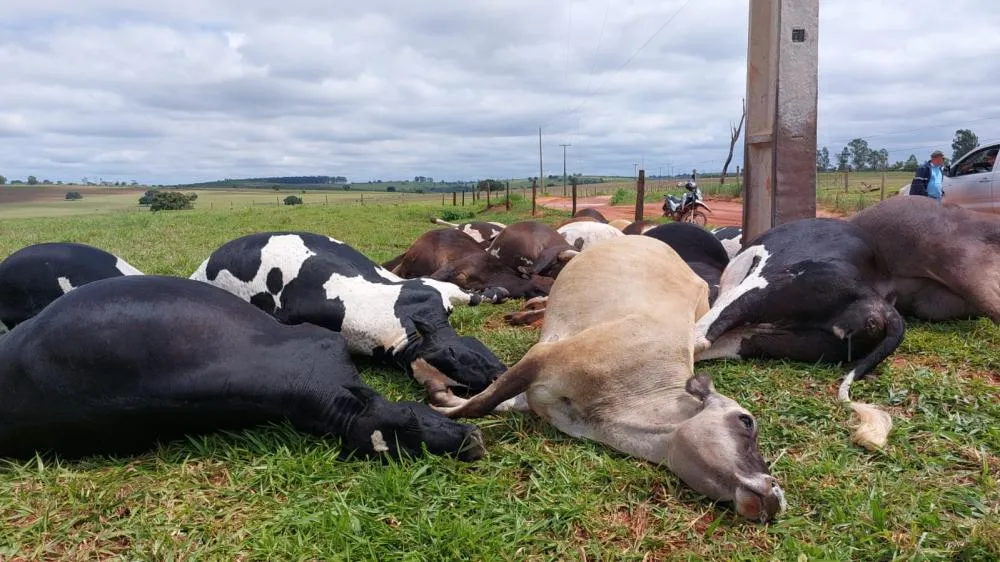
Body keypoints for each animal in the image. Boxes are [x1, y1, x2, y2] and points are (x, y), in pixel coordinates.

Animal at [190, 232, 507, 396]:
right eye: (452, 358)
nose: (498, 377)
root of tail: (201, 267)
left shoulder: (429, 287)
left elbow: (467, 294)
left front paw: (496, 292)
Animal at [419, 236, 786, 522]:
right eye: (746, 422)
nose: (777, 493)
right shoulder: (541, 358)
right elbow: (480, 404)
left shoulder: (535, 393)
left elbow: (488, 401)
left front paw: (439, 395)